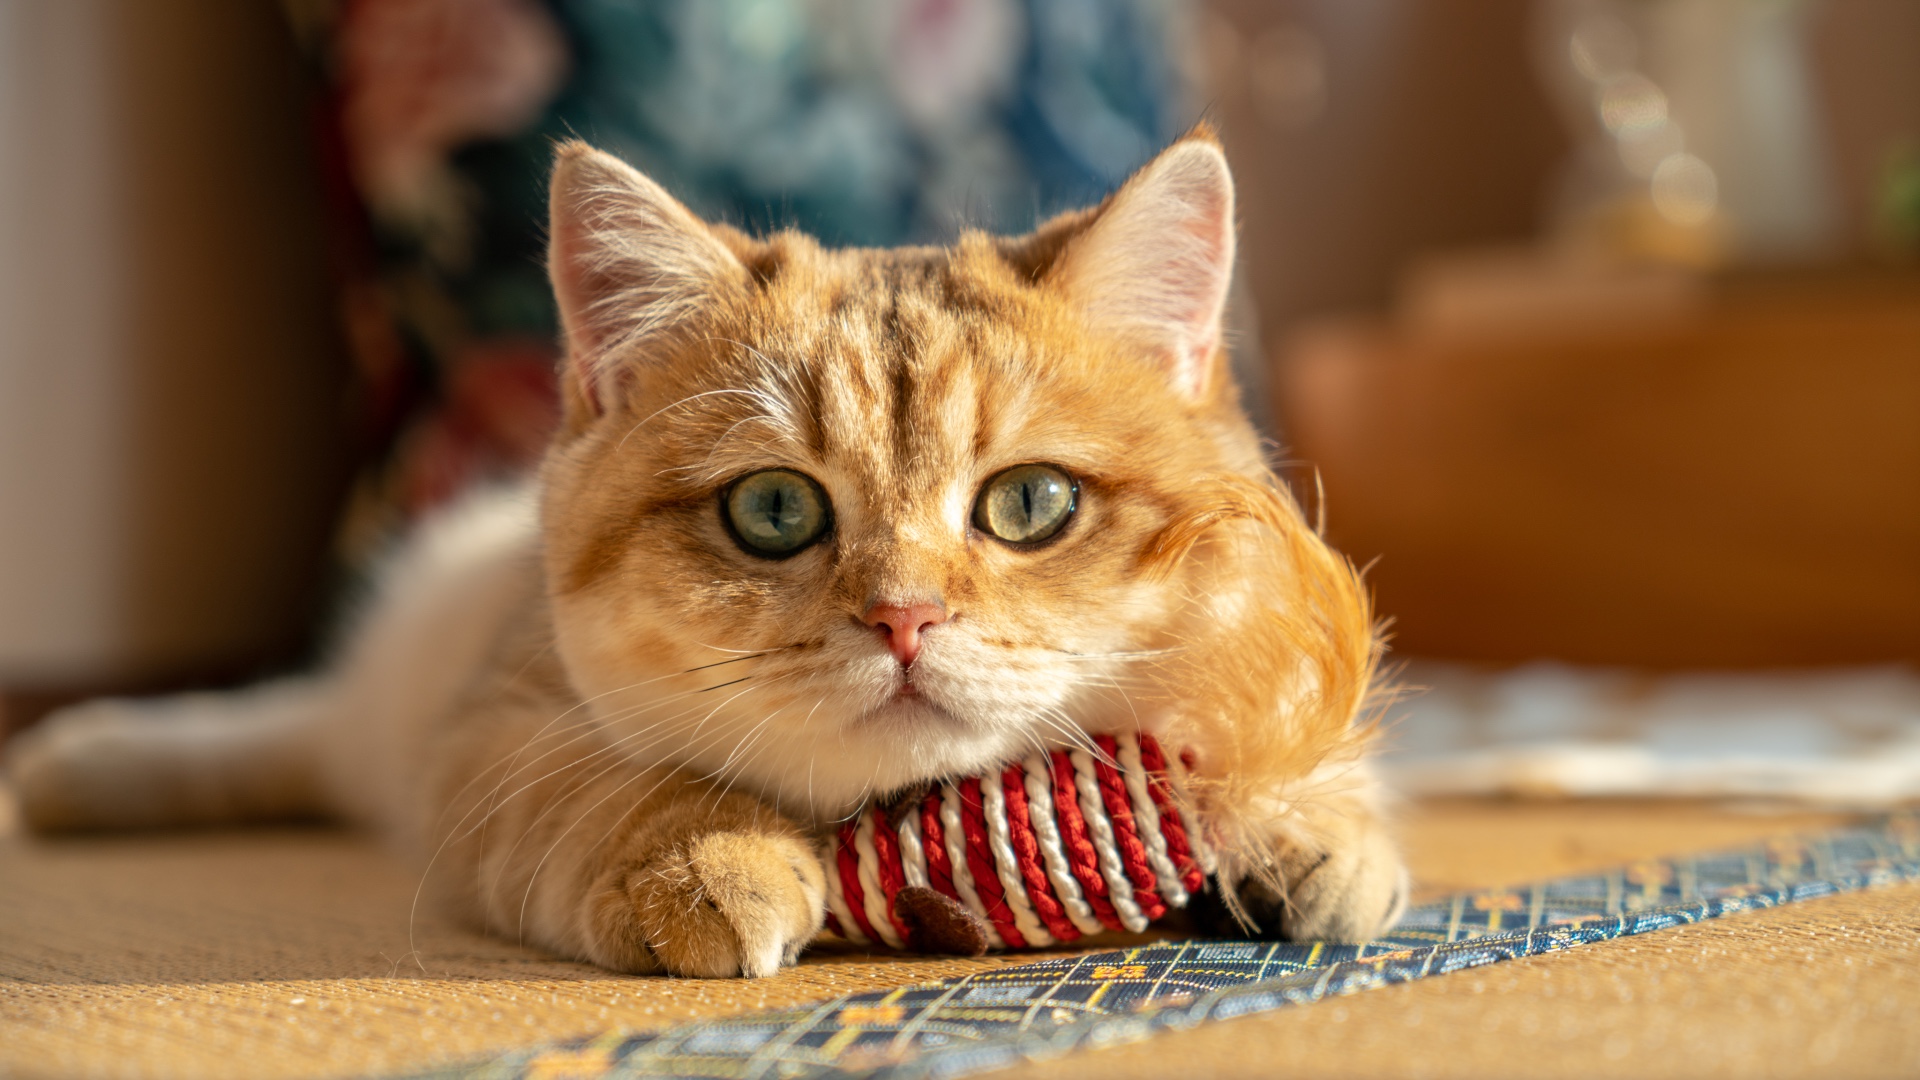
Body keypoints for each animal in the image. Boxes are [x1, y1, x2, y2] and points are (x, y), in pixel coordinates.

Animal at [7, 127, 1405, 976]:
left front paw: (1298, 818)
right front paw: (706, 860)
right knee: (281, 730)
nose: (904, 617)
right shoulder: (502, 736)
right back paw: (84, 764)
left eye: (1031, 503)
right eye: (776, 512)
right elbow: (624, 792)